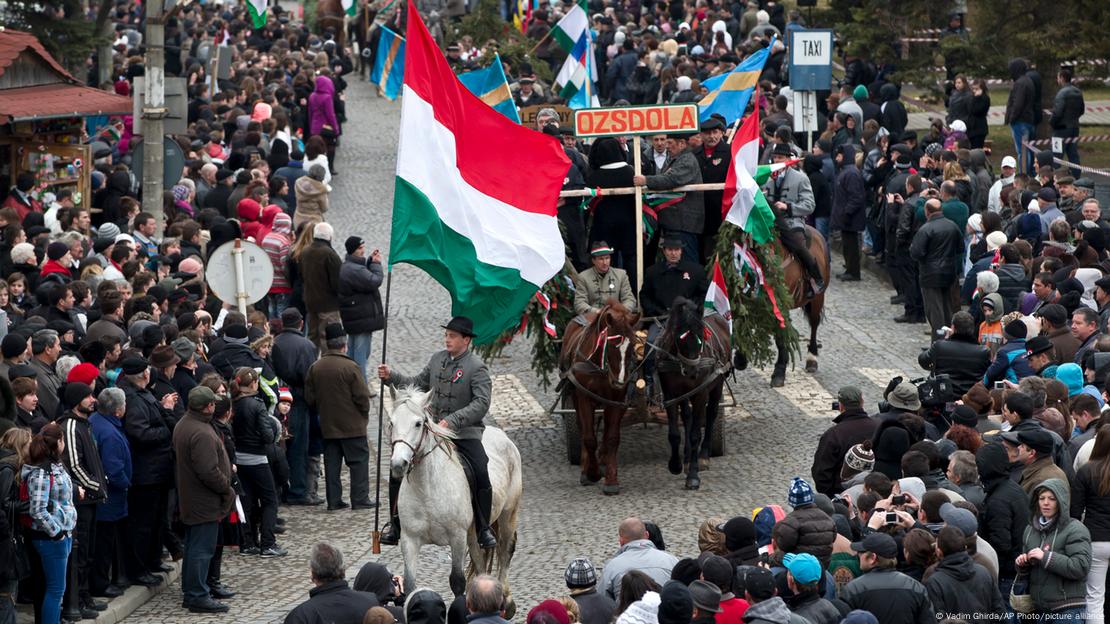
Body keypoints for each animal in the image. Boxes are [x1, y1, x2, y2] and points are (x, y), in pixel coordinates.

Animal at [388, 388, 521, 599]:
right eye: (391, 422)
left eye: (418, 423)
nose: (398, 465)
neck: (427, 488)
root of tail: (499, 433)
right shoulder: (410, 539)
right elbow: (409, 583)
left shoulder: (457, 537)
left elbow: (457, 582)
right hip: (474, 533)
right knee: (480, 560)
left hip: (508, 515)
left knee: (504, 550)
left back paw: (504, 595)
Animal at [559, 299, 639, 492]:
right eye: (611, 346)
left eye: (633, 344)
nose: (619, 381)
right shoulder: (583, 397)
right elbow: (589, 438)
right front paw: (592, 473)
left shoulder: (617, 400)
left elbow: (612, 437)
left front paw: (611, 480)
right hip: (574, 396)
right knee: (582, 428)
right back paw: (585, 469)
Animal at [652, 297, 732, 490]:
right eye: (678, 337)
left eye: (701, 336)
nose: (692, 371)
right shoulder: (671, 394)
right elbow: (675, 433)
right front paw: (676, 465)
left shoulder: (701, 393)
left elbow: (696, 434)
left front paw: (693, 476)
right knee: (687, 417)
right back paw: (687, 458)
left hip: (717, 384)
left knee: (711, 414)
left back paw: (703, 456)